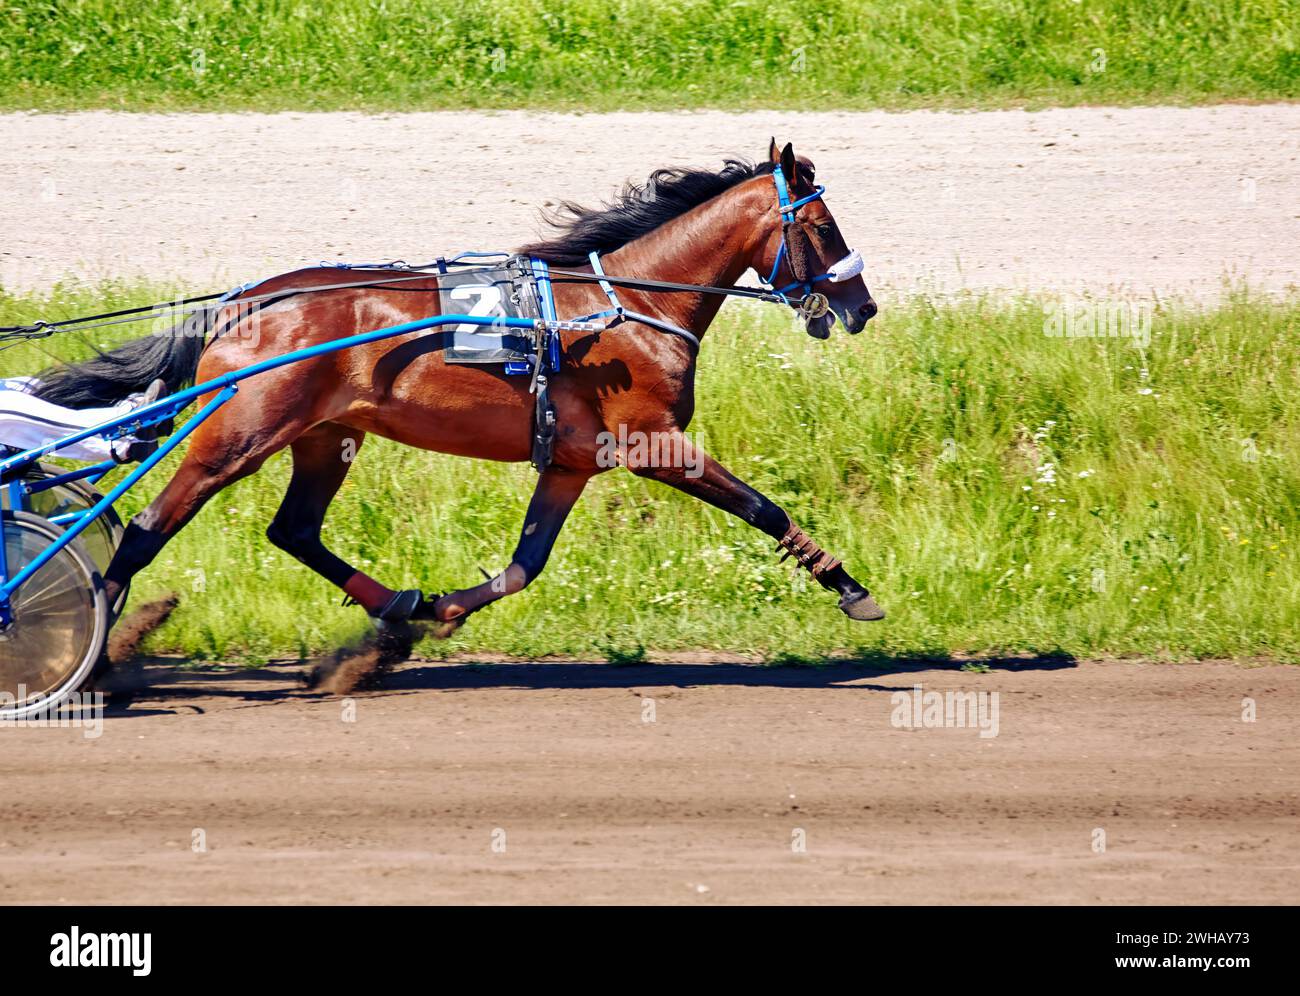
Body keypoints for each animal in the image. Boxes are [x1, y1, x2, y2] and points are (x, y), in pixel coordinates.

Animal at [36, 139, 884, 670]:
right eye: (820, 223)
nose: (863, 306)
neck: (630, 307)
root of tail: (243, 304)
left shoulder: (572, 462)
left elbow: (524, 566)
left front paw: (437, 611)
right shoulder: (653, 442)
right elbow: (763, 507)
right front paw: (851, 589)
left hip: (325, 435)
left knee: (295, 530)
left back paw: (397, 605)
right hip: (239, 431)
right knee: (146, 529)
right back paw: (95, 650)